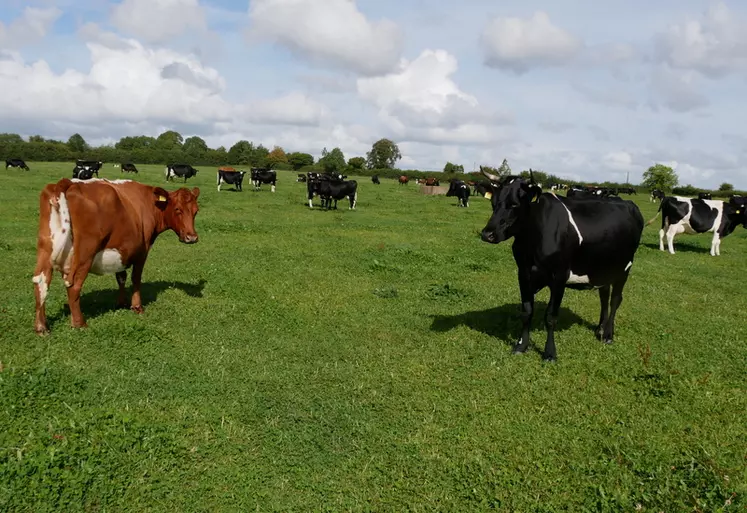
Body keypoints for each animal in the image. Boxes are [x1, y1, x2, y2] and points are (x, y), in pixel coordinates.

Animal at [32, 178, 202, 334]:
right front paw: (137, 307)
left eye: (196, 210)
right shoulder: (142, 250)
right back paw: (79, 323)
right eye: (178, 209)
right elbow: (136, 278)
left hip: (46, 247)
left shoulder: (123, 249)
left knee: (40, 280)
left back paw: (42, 327)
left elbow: (121, 276)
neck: (148, 202)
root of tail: (68, 182)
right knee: (73, 285)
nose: (192, 237)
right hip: (85, 253)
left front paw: (121, 303)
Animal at [482, 168, 644, 360]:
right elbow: (527, 312)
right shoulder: (523, 273)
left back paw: (608, 335)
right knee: (604, 296)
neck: (532, 240)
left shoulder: (559, 277)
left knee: (615, 299)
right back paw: (599, 329)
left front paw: (550, 353)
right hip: (602, 268)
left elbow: (551, 317)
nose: (487, 234)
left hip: (625, 268)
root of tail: (625, 201)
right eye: (493, 202)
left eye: (514, 204)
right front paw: (521, 346)